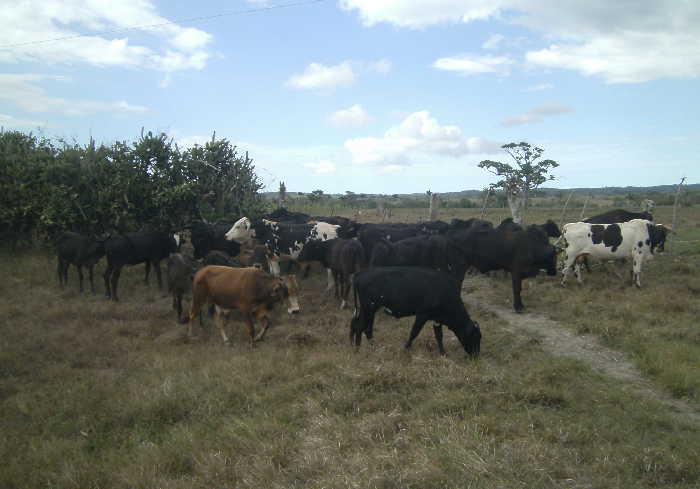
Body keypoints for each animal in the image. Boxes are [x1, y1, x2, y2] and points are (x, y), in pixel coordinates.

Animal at [350, 266, 482, 354]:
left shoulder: (436, 319)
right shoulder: (422, 315)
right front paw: (406, 348)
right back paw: (357, 349)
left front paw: (443, 353)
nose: (476, 356)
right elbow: (414, 332)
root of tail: (361, 273)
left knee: (363, 327)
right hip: (368, 308)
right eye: (475, 336)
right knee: (360, 326)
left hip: (369, 310)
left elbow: (439, 336)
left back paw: (371, 346)